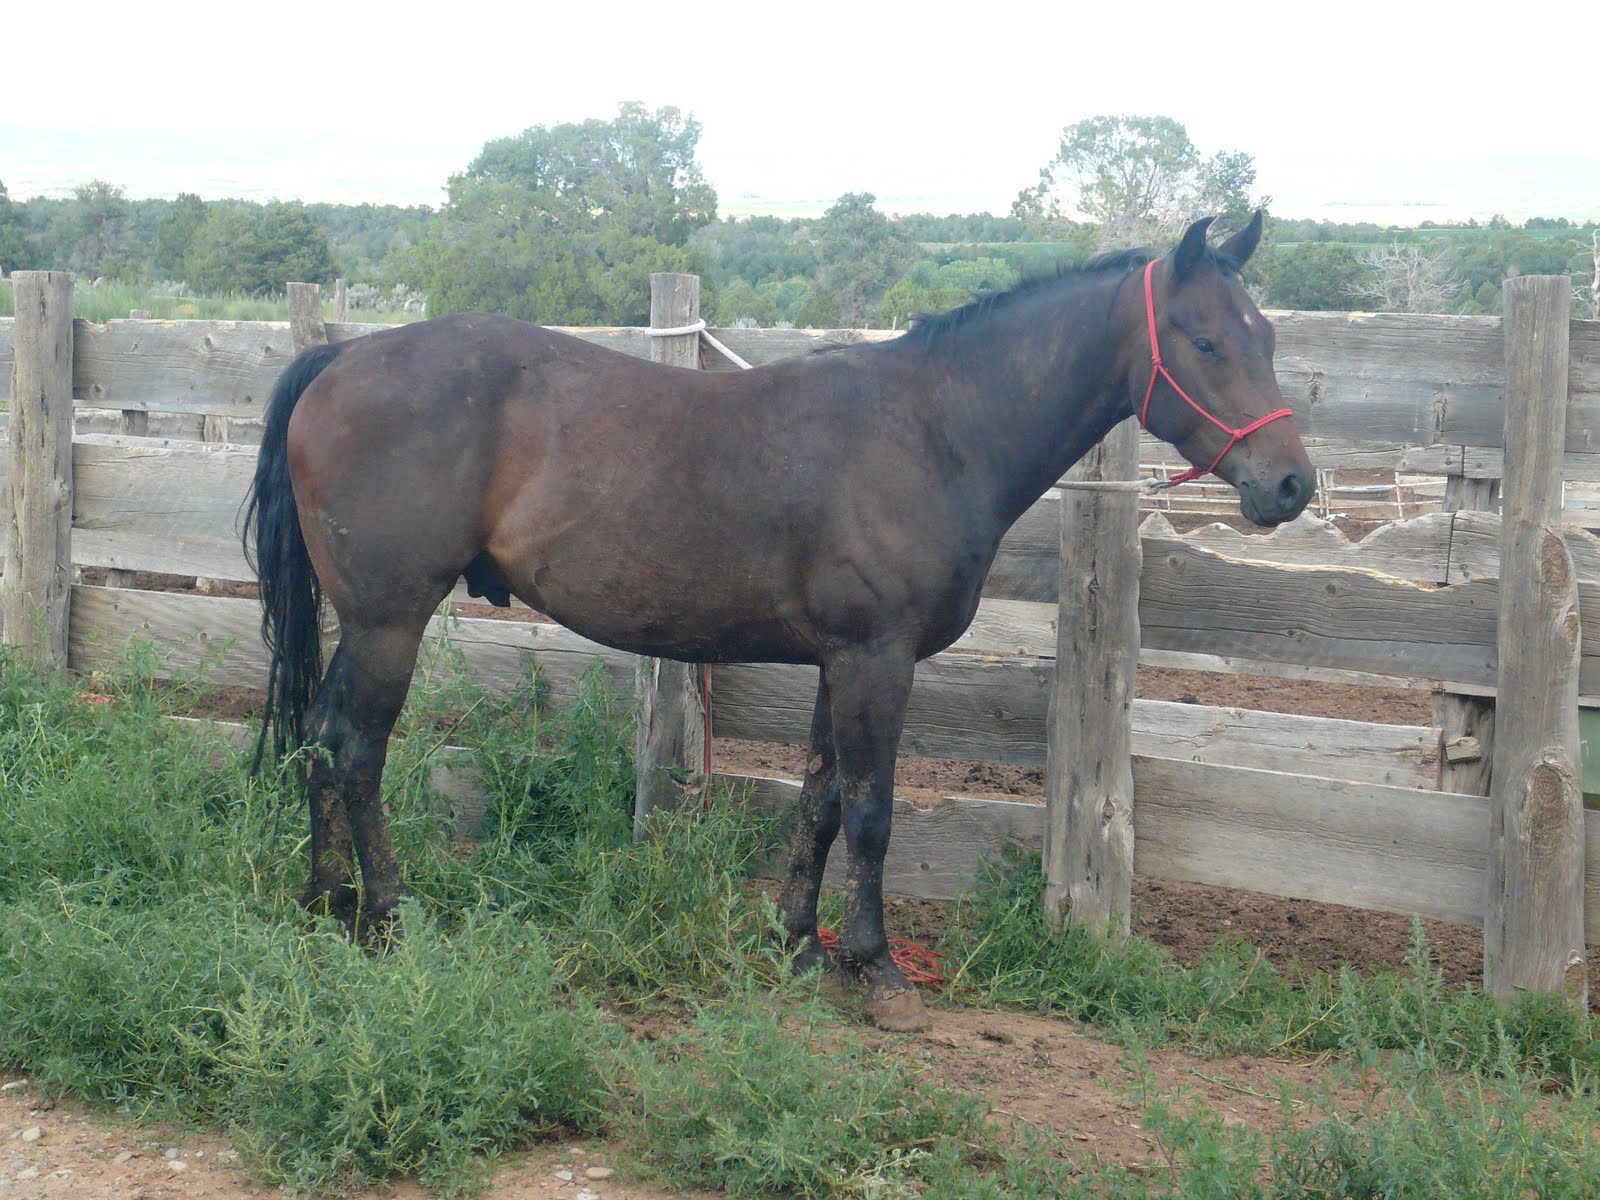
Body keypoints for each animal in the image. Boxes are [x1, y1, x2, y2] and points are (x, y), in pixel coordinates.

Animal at [244, 212, 1313, 1032]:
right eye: (1206, 340)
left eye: (1265, 338)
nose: (1291, 485)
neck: (933, 429)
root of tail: (343, 354)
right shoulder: (877, 659)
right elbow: (874, 813)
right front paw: (877, 971)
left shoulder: (843, 661)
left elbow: (822, 802)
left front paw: (798, 944)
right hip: (389, 622)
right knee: (355, 751)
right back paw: (388, 912)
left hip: (365, 627)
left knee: (319, 744)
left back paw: (325, 902)